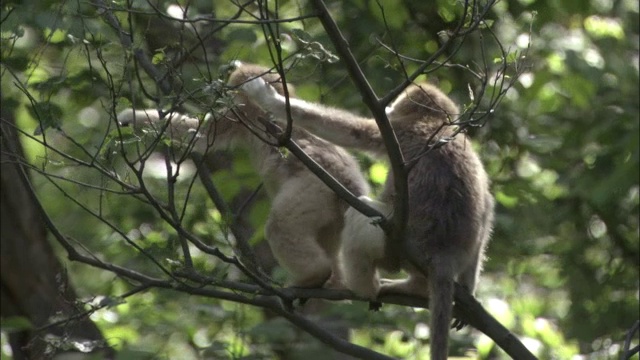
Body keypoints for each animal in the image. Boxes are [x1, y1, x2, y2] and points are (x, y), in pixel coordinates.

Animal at [116, 63, 370, 290]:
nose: (227, 94)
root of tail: (348, 180)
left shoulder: (243, 114)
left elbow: (201, 135)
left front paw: (132, 116)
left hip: (314, 189)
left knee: (279, 226)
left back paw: (315, 275)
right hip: (333, 211)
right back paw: (332, 283)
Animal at [240, 73, 496, 360]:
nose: (390, 108)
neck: (438, 127)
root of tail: (444, 253)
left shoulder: (397, 131)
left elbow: (351, 131)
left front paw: (266, 97)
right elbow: (489, 203)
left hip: (394, 250)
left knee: (361, 213)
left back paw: (366, 289)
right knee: (487, 209)